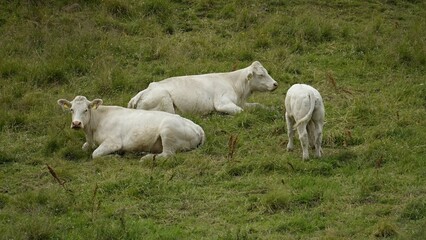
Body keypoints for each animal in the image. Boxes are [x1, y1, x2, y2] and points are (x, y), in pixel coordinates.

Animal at [57, 95, 206, 159]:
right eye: (71, 110)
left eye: (86, 110)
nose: (76, 123)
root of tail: (197, 126)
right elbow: (85, 148)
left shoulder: (113, 142)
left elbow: (95, 154)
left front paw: (114, 156)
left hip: (167, 130)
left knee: (167, 154)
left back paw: (147, 157)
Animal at [128, 61, 278, 115]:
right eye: (261, 74)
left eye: (267, 71)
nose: (275, 84)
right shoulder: (222, 103)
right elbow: (241, 111)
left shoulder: (242, 102)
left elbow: (258, 105)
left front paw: (272, 109)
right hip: (165, 102)